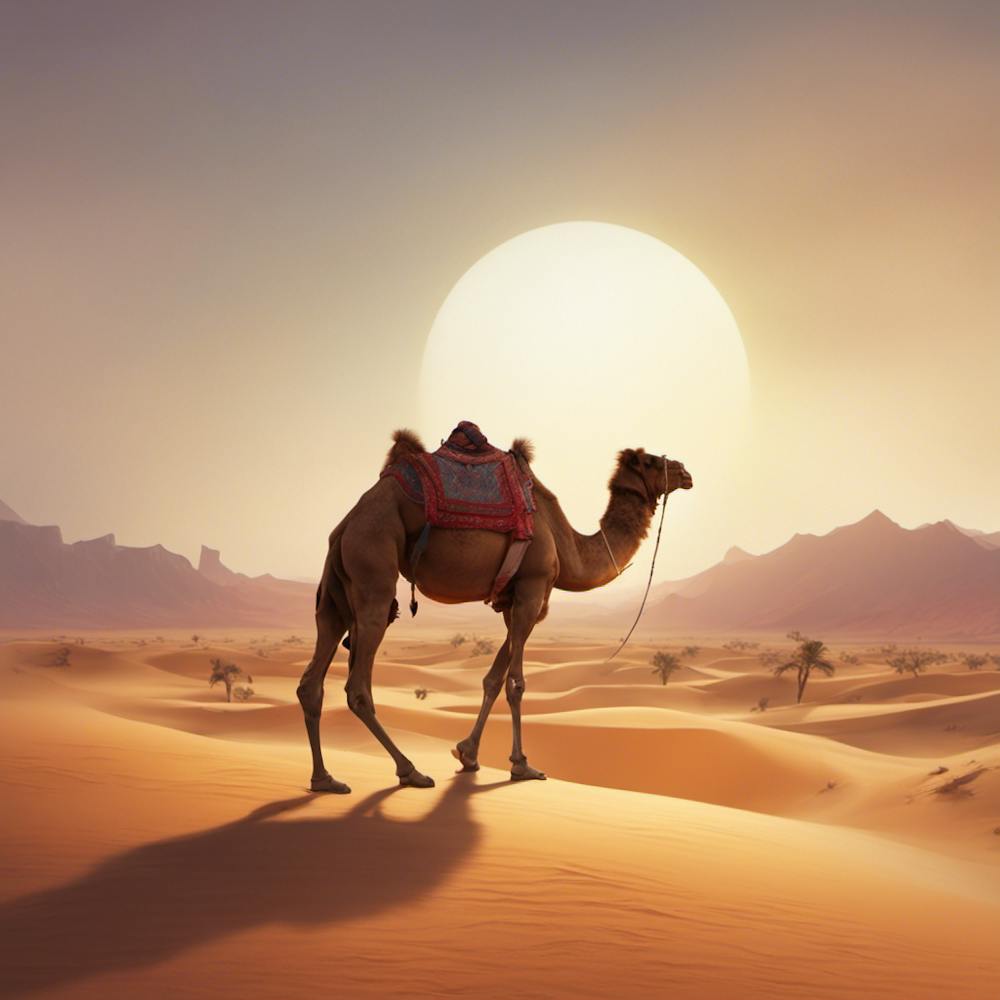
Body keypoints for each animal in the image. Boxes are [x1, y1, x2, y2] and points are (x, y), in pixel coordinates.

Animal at [296, 428, 693, 793]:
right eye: (652, 461)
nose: (686, 472)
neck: (567, 545)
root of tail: (347, 523)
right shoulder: (533, 590)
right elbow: (516, 683)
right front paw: (521, 765)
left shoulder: (513, 600)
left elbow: (493, 678)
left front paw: (467, 754)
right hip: (373, 563)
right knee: (358, 687)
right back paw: (410, 771)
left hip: (336, 594)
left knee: (311, 681)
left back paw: (324, 778)